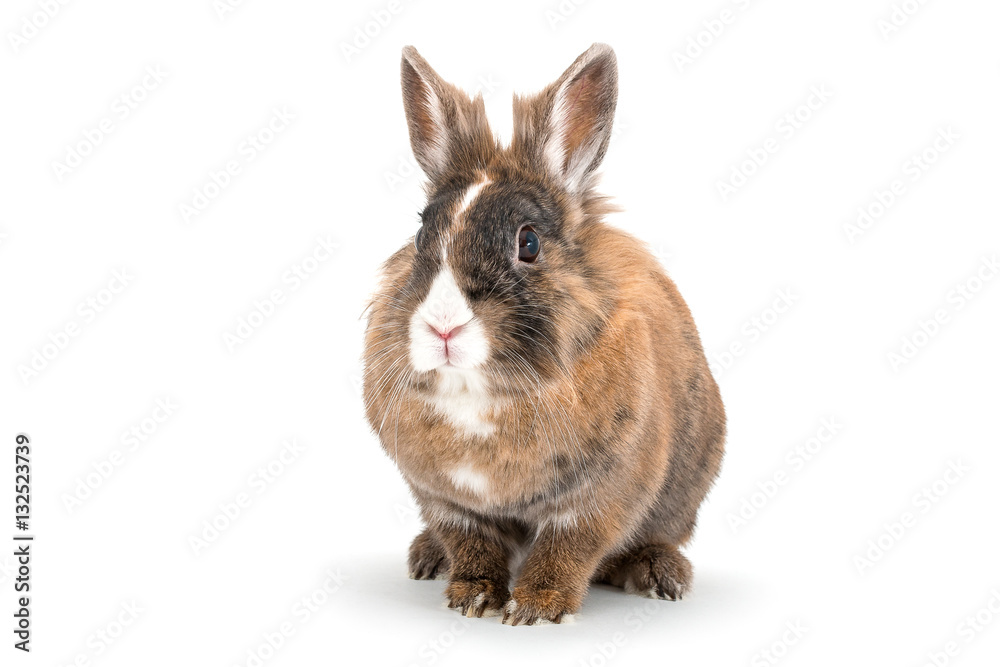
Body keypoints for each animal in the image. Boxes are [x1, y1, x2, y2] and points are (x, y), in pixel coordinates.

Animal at [362, 43, 725, 625]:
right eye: (420, 235)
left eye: (528, 242)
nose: (443, 326)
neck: (478, 393)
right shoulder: (445, 500)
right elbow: (471, 543)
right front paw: (472, 598)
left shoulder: (600, 496)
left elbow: (566, 549)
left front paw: (535, 608)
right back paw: (426, 558)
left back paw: (658, 575)